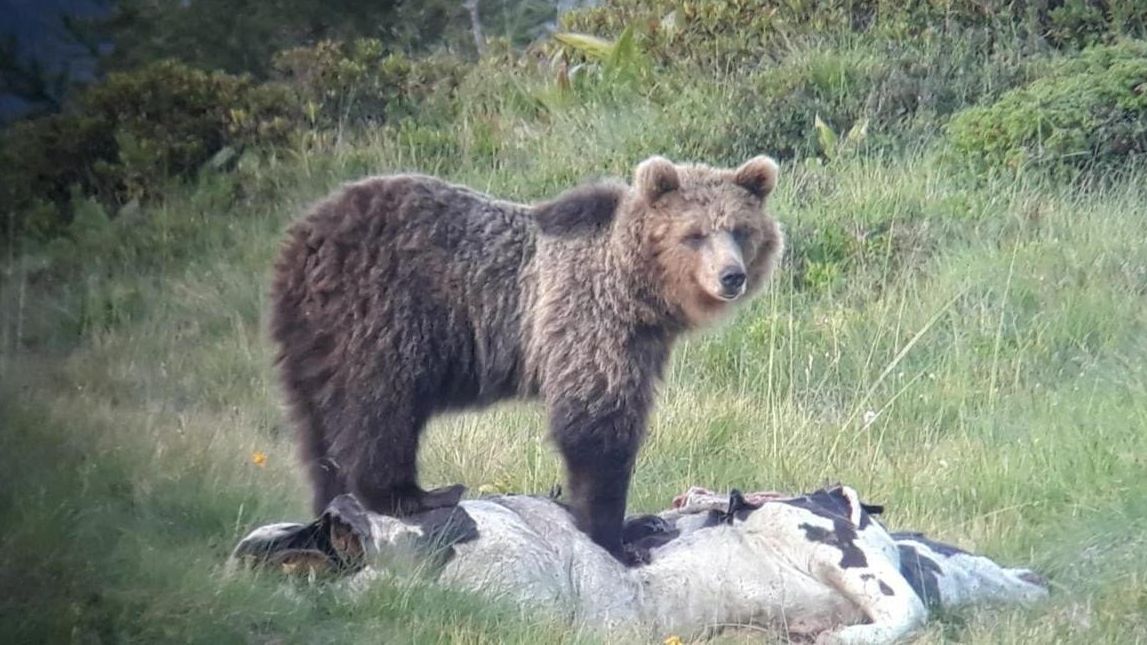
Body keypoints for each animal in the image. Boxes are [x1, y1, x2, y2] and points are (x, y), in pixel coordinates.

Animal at [270, 152, 779, 560]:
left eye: (740, 230)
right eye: (695, 234)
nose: (731, 276)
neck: (638, 291)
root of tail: (305, 238)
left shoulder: (643, 342)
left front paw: (637, 523)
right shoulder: (588, 318)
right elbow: (596, 424)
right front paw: (616, 536)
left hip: (312, 338)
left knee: (317, 426)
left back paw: (333, 501)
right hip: (384, 313)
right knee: (379, 405)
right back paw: (414, 495)